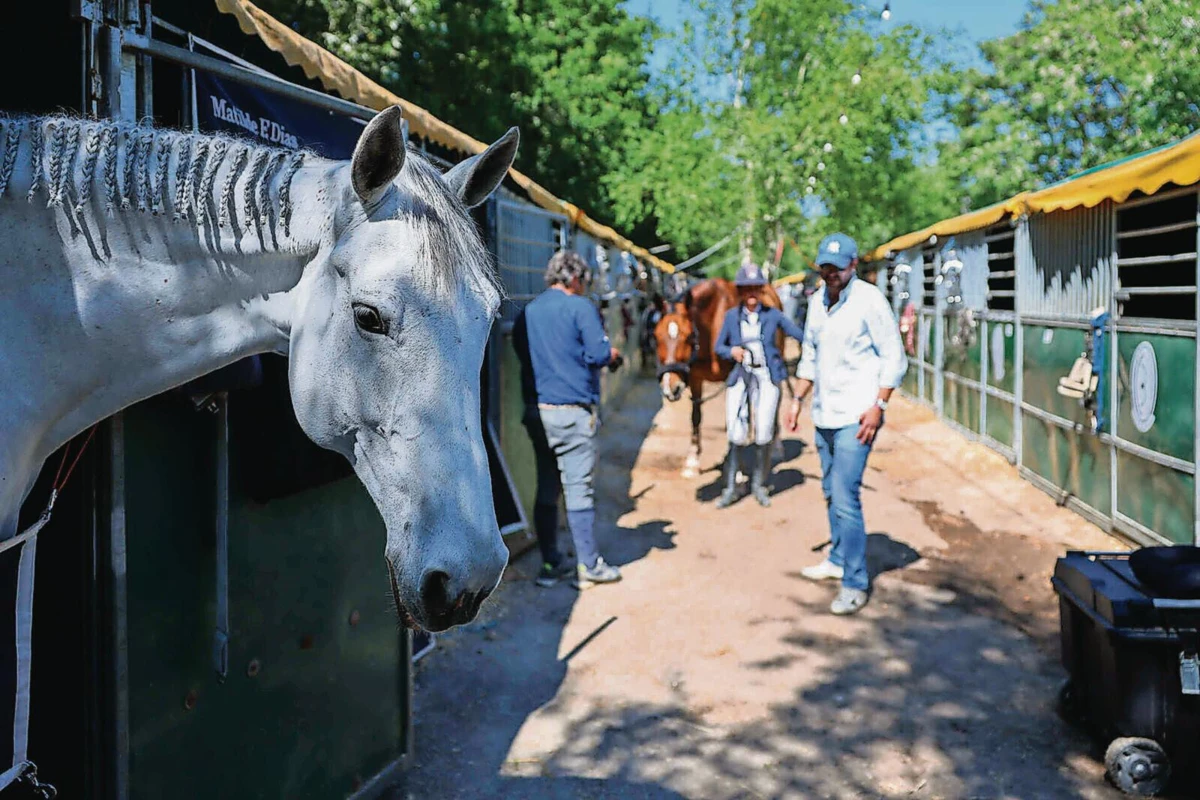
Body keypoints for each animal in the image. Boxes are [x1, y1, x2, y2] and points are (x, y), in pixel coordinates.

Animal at [654, 278, 785, 478]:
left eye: (689, 336)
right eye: (656, 336)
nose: (671, 387)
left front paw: (736, 470)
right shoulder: (695, 378)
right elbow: (696, 417)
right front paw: (692, 462)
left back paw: (776, 447)